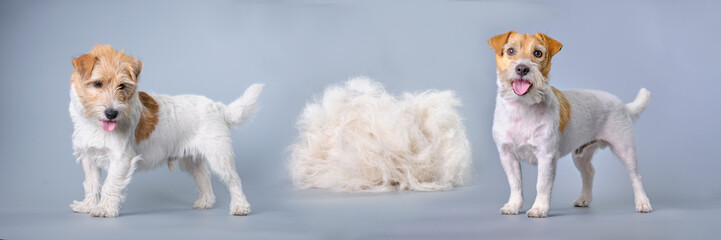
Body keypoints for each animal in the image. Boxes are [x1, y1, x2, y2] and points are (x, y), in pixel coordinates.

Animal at [68, 45, 262, 218]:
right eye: (97, 83)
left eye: (122, 86)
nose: (112, 113)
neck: (94, 124)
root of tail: (216, 106)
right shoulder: (88, 158)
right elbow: (92, 184)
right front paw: (87, 205)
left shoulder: (121, 158)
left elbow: (110, 185)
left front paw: (104, 209)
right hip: (192, 160)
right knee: (204, 177)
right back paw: (205, 202)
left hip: (219, 156)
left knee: (234, 180)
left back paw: (240, 207)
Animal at [490, 31, 652, 218]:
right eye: (510, 51)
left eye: (538, 53)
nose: (522, 69)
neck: (522, 107)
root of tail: (623, 105)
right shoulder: (507, 155)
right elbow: (515, 183)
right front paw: (514, 205)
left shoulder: (546, 156)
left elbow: (542, 185)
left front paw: (539, 208)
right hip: (581, 154)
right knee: (589, 172)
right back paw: (584, 199)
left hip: (624, 148)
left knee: (635, 176)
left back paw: (643, 203)